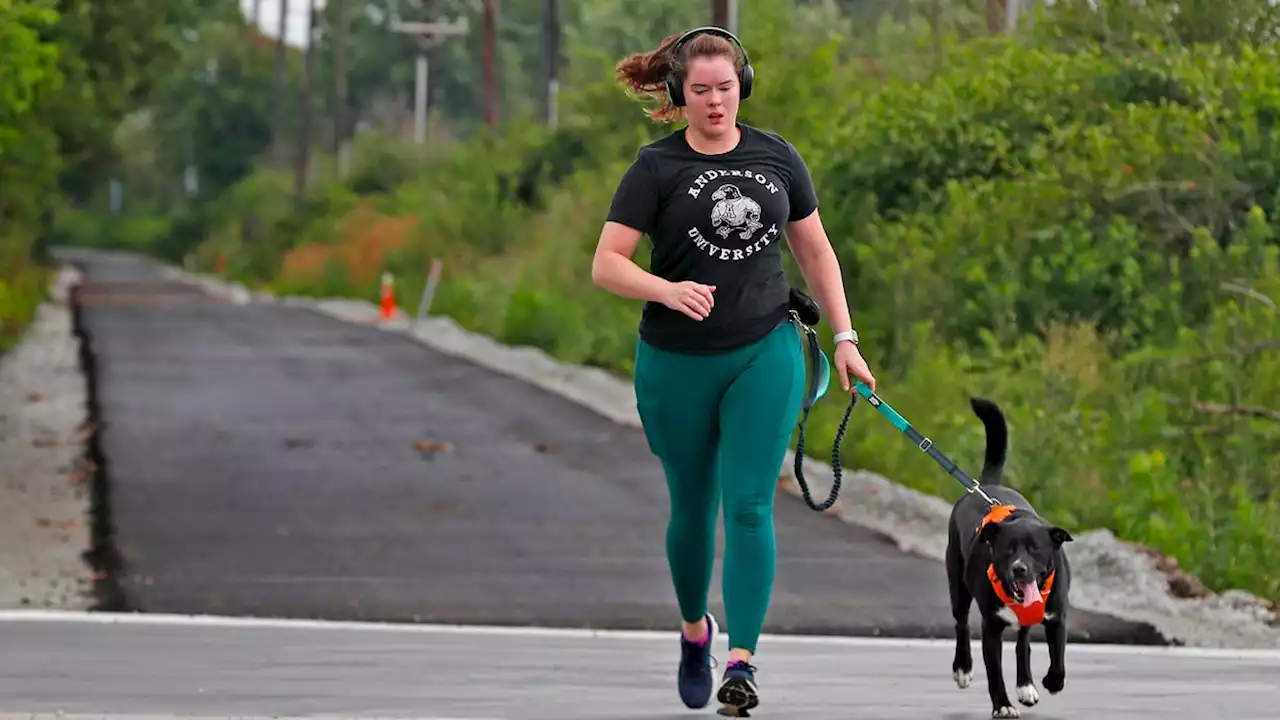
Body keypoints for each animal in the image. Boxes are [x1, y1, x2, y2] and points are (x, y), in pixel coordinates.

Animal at [947, 394, 1075, 712]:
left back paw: (1026, 685)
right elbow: (994, 673)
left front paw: (1051, 682)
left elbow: (1058, 660)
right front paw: (1002, 705)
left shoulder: (1057, 617)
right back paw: (963, 668)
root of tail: (986, 485)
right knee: (961, 623)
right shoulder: (991, 628)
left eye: (1036, 549)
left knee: (1022, 643)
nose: (1019, 568)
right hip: (957, 584)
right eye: (1007, 549)